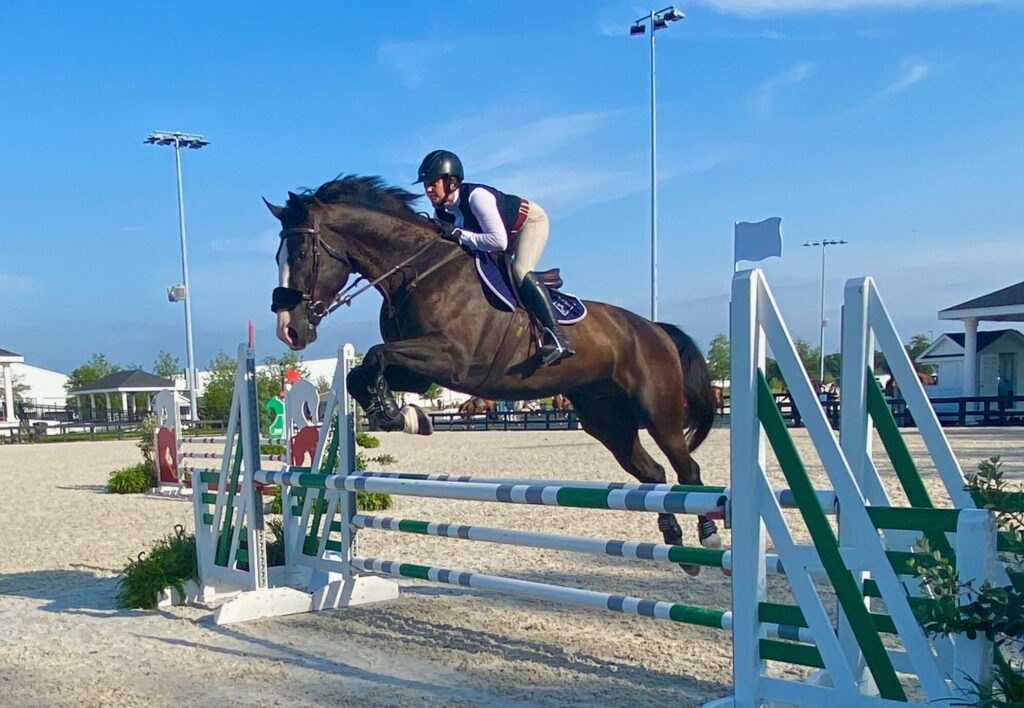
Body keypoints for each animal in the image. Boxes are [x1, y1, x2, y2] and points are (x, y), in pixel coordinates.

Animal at [268, 176, 719, 571]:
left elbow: (376, 357)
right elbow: (360, 374)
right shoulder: (418, 372)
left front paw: (399, 414)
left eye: (301, 254)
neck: (415, 272)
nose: (289, 330)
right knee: (653, 473)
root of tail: (655, 328)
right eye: (277, 258)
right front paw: (404, 416)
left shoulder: (453, 359)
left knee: (687, 470)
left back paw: (708, 538)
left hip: (659, 411)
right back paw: (677, 544)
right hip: (607, 420)